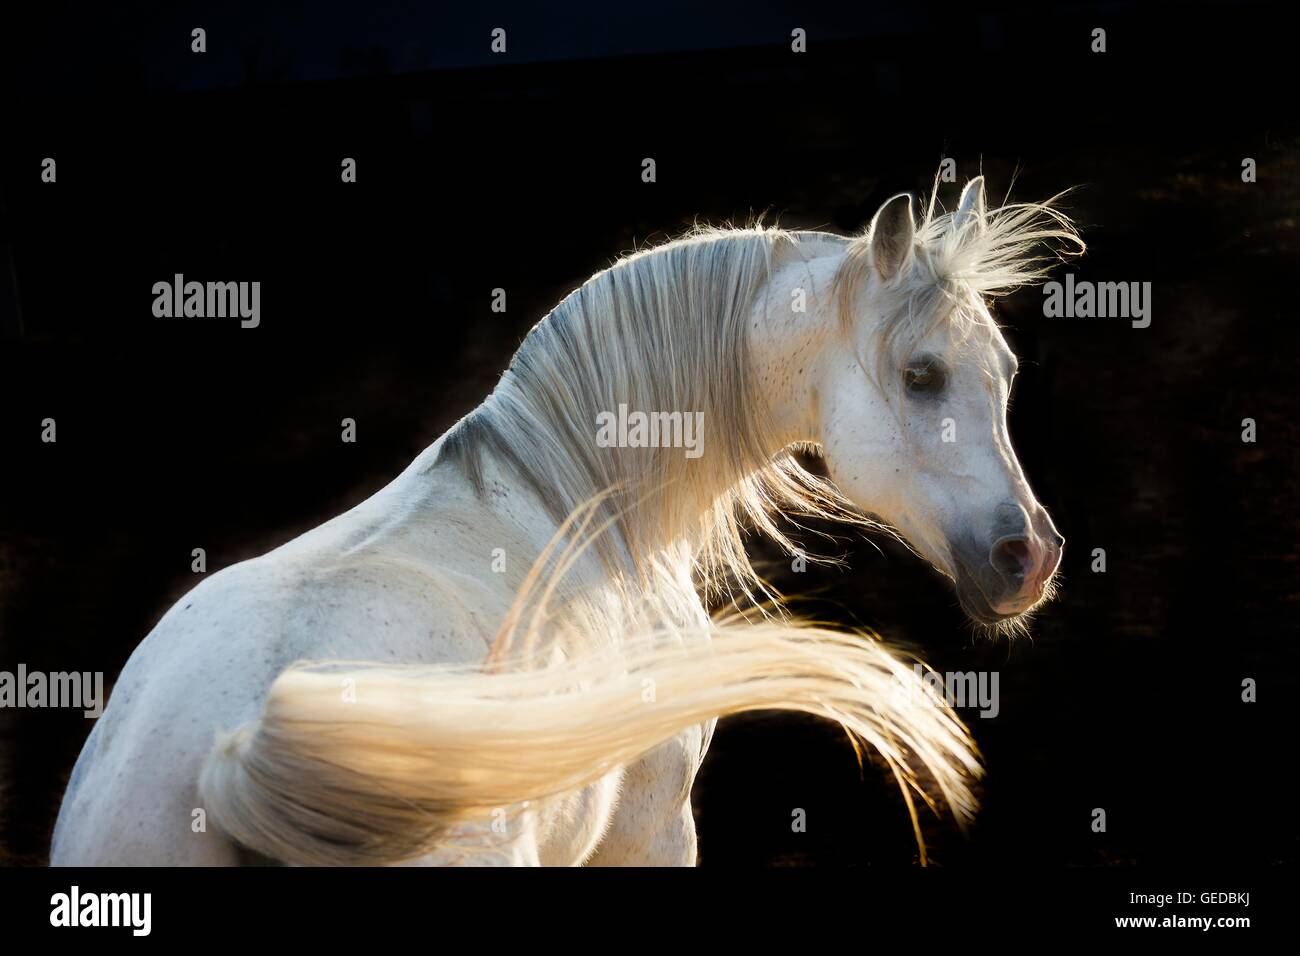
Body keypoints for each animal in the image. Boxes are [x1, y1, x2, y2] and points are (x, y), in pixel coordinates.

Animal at [50, 174, 1081, 868]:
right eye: (921, 375)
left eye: (1005, 370)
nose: (1027, 554)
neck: (578, 492)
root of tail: (227, 763)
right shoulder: (654, 832)